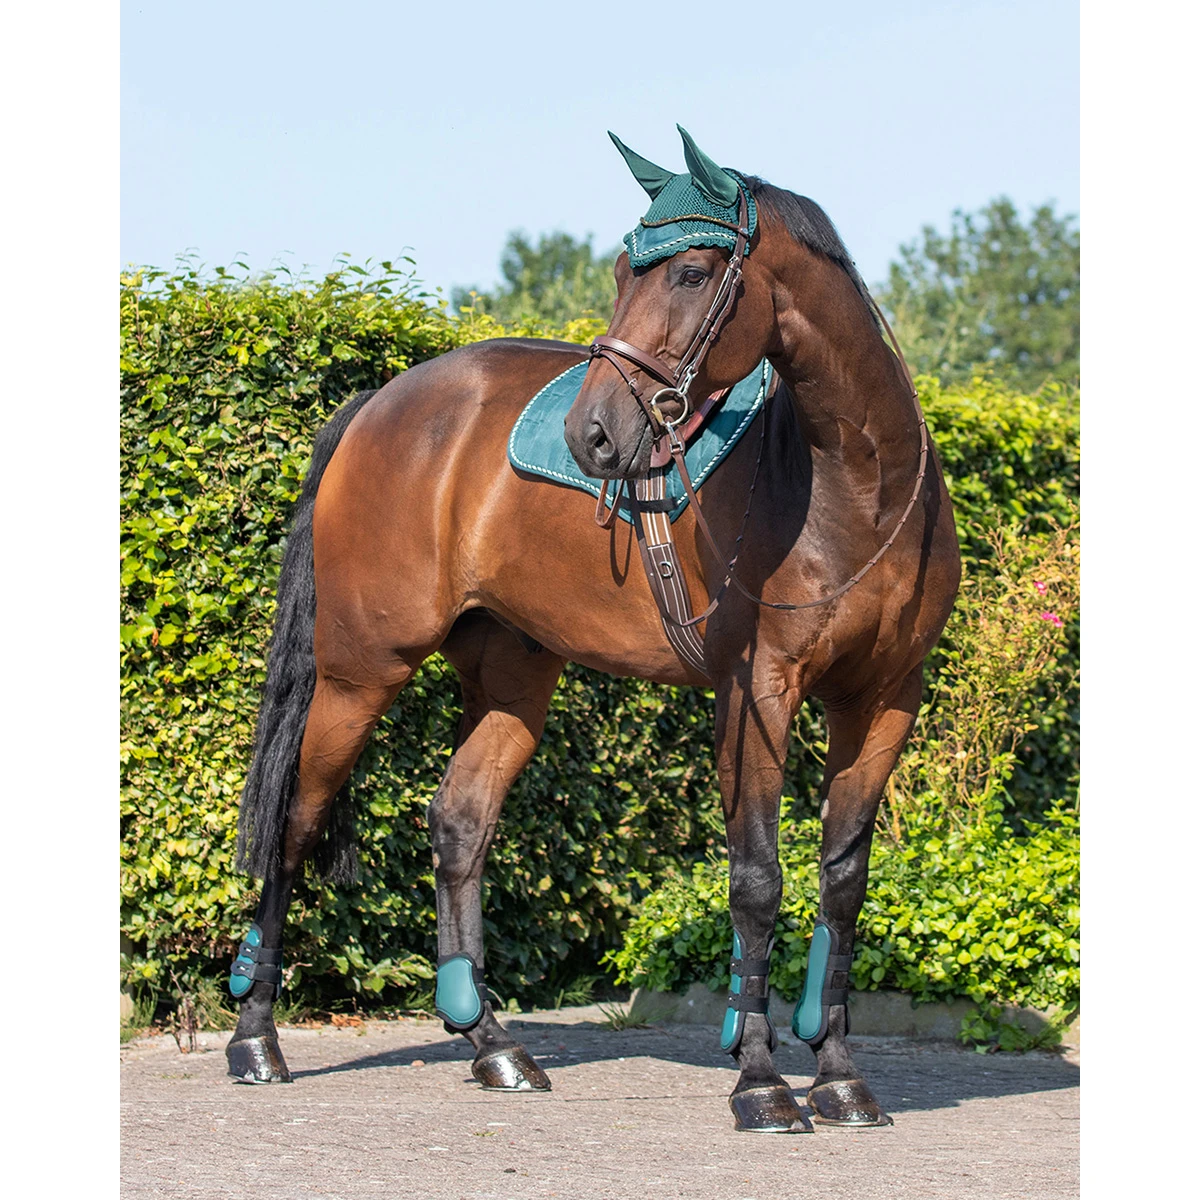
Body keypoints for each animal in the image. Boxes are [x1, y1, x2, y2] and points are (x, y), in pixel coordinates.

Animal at [226, 126, 961, 1134]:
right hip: (357, 674)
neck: (855, 487)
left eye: (690, 271)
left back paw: (493, 1046)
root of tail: (379, 405)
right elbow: (758, 879)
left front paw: (842, 1076)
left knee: (459, 822)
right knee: (294, 824)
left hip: (510, 675)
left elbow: (842, 883)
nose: (595, 436)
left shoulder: (885, 700)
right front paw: (762, 1083)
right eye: (621, 269)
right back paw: (256, 1038)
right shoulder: (756, 693)